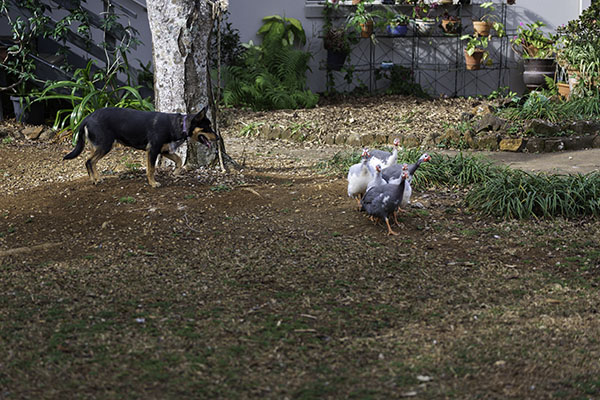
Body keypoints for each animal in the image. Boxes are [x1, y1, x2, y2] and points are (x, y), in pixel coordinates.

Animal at [63, 106, 217, 188]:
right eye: (208, 127)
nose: (218, 138)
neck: (179, 125)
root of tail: (87, 118)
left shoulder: (165, 150)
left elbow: (179, 160)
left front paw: (176, 173)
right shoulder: (153, 150)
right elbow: (151, 169)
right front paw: (153, 183)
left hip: (99, 146)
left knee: (91, 161)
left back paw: (96, 178)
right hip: (105, 145)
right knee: (89, 161)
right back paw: (94, 180)